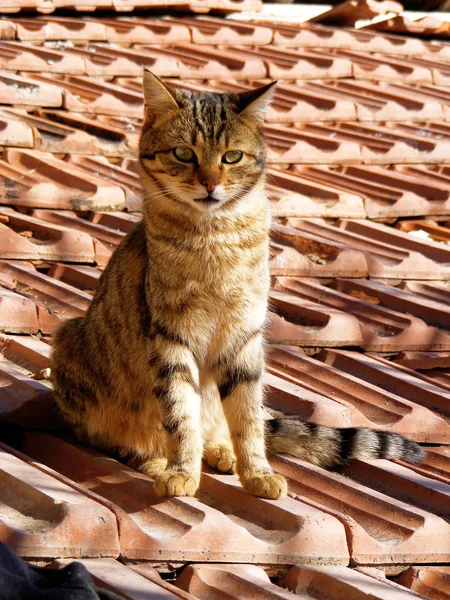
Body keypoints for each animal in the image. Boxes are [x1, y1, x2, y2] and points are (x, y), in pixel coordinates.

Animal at [50, 71, 426, 502]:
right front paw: (181, 470)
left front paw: (258, 473)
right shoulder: (170, 337)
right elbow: (180, 414)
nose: (211, 183)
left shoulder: (244, 338)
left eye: (232, 157)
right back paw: (156, 460)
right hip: (70, 345)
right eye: (184, 153)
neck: (216, 238)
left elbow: (248, 420)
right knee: (122, 437)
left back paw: (221, 452)